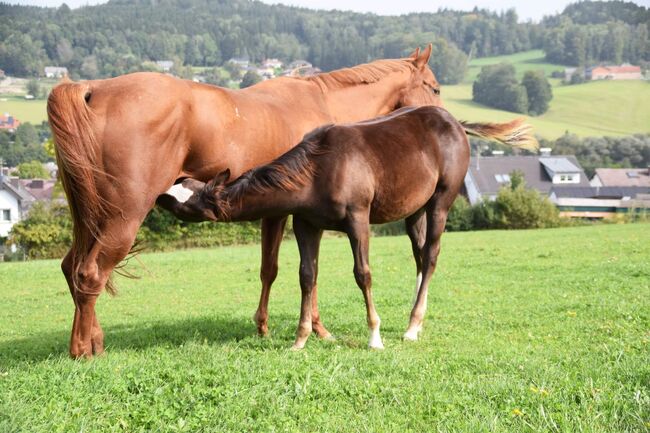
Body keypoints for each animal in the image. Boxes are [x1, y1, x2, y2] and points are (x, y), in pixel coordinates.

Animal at [167, 106, 536, 350]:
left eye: (187, 199)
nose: (159, 195)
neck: (319, 169)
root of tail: (456, 123)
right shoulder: (306, 225)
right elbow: (307, 276)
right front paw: (300, 340)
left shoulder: (358, 220)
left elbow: (363, 274)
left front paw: (374, 335)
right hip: (414, 210)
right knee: (419, 257)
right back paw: (415, 321)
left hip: (440, 202)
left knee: (431, 255)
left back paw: (412, 327)